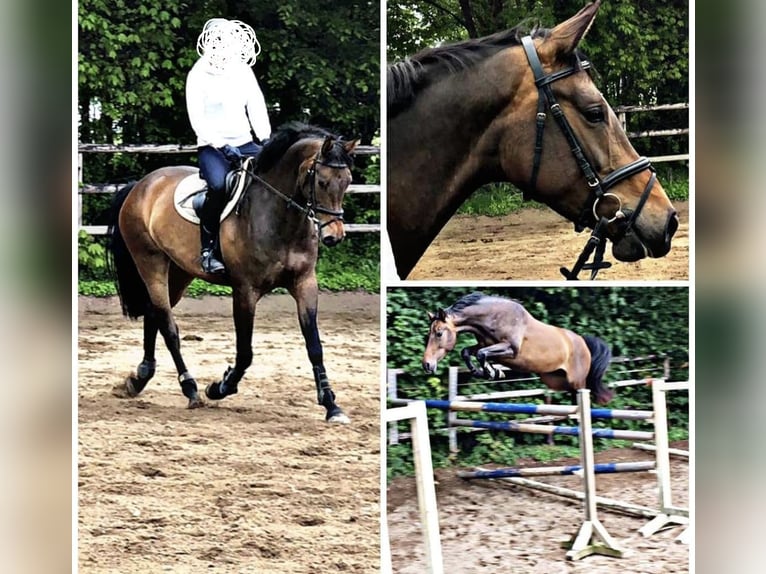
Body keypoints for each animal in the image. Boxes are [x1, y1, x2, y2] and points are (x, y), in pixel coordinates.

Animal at [107, 122, 359, 423]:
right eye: (321, 182)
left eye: (347, 181)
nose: (334, 236)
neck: (278, 216)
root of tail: (141, 185)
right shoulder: (245, 290)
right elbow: (245, 352)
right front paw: (219, 387)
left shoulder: (305, 283)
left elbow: (315, 346)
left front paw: (332, 405)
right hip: (150, 261)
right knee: (167, 325)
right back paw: (190, 388)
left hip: (179, 272)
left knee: (153, 313)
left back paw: (139, 379)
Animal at [422, 292, 613, 405]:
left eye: (439, 333)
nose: (426, 365)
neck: (493, 318)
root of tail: (582, 341)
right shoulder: (485, 345)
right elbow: (469, 352)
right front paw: (488, 372)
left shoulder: (511, 350)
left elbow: (482, 355)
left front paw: (493, 373)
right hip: (555, 380)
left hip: (577, 382)